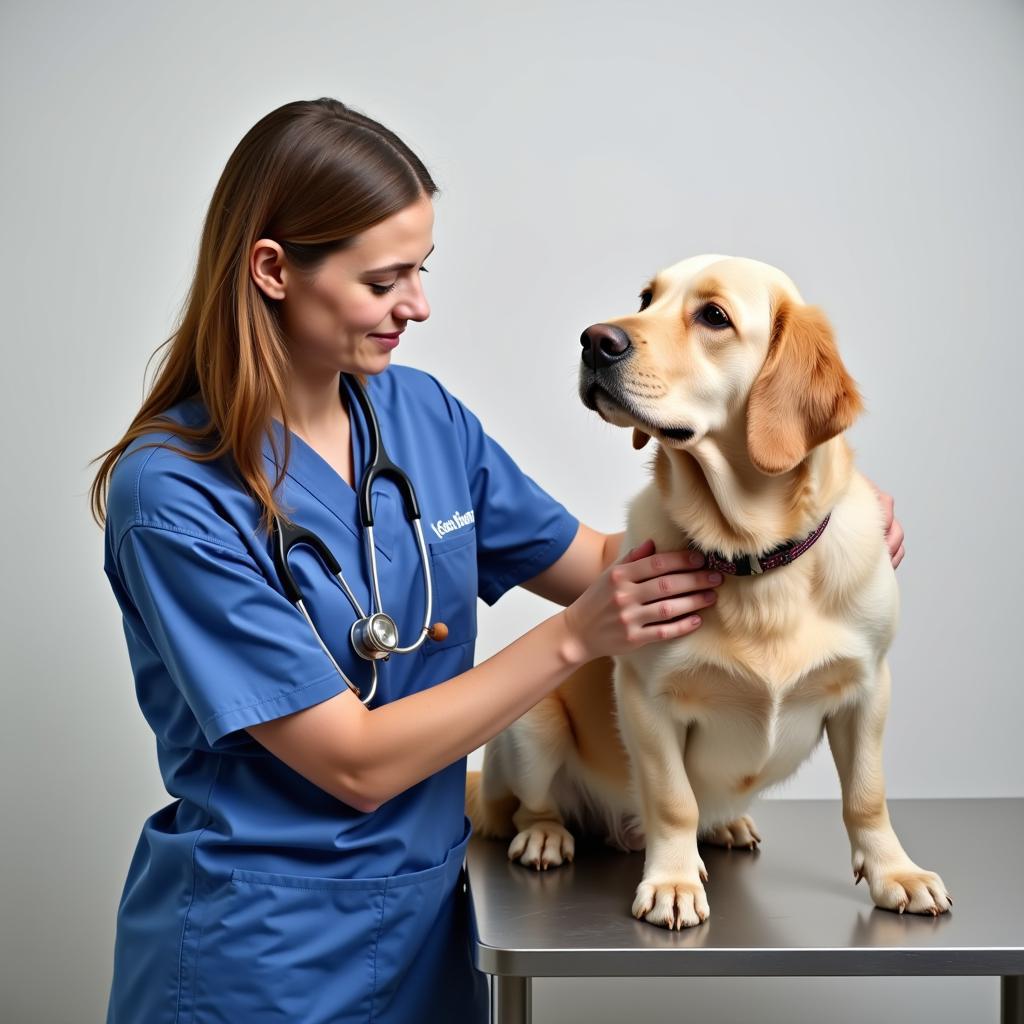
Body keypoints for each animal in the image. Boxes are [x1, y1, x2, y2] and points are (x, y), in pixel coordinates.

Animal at [464, 253, 950, 929]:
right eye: (646, 298)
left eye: (714, 316)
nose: (594, 340)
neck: (754, 558)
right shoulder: (646, 698)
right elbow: (674, 800)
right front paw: (672, 882)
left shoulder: (868, 689)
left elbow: (867, 796)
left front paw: (895, 873)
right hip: (530, 724)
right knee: (528, 808)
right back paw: (545, 835)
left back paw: (727, 827)